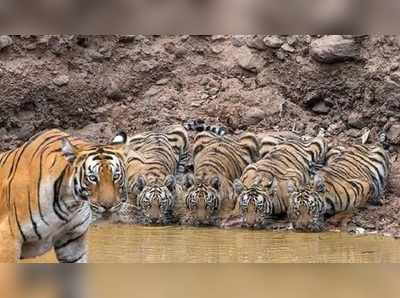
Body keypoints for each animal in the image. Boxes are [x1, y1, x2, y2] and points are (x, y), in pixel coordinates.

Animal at [0, 129, 128, 264]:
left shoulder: (73, 242)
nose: (108, 206)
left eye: (116, 176)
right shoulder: (8, 238)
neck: (69, 204)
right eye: (93, 178)